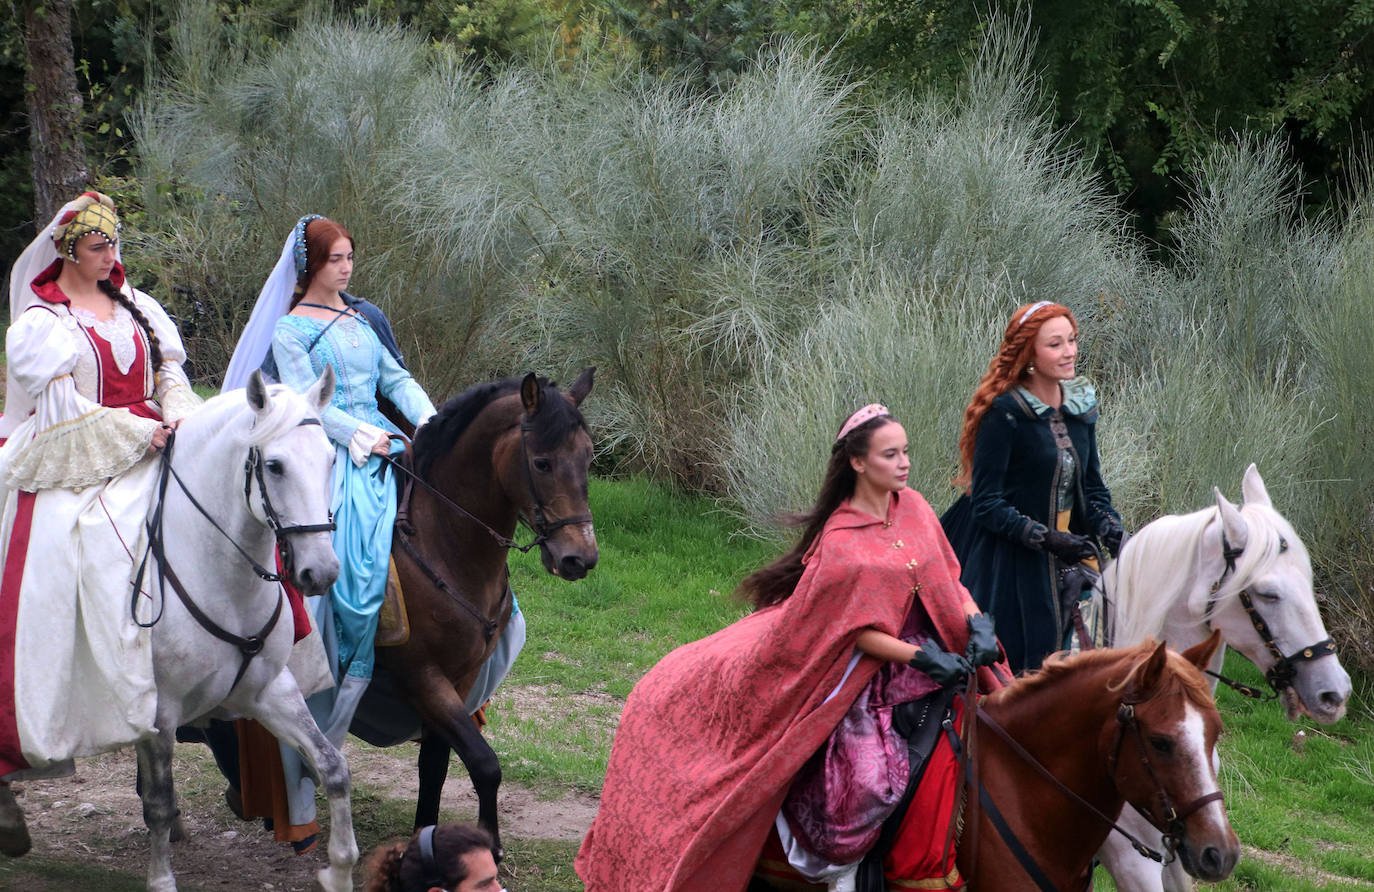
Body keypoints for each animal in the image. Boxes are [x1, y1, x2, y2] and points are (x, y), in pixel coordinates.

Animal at [0, 368, 359, 890]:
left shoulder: (270, 691)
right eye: (274, 466)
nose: (322, 572)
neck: (221, 575)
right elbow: (158, 803)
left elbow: (333, 766)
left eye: (332, 459)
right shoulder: (159, 713)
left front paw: (340, 869)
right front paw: (162, 878)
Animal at [368, 368, 599, 846]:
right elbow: (484, 764)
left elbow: (435, 766)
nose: (580, 559)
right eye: (542, 463)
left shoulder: (460, 677)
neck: (442, 540)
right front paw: (488, 845)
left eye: (588, 458)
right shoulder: (421, 677)